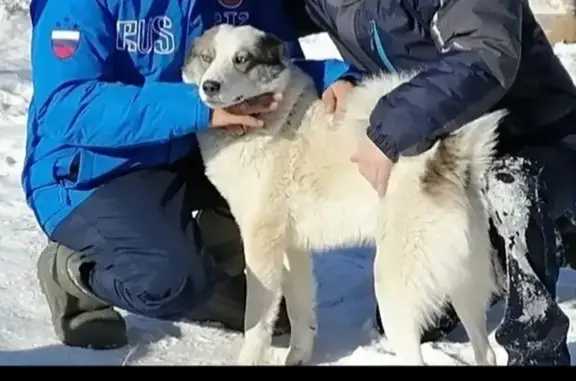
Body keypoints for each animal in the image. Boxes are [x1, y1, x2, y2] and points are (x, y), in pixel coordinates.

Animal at [182, 23, 502, 366]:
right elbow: (300, 309)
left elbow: (257, 321)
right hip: (465, 283)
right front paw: (298, 357)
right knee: (486, 351)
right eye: (207, 57)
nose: (210, 86)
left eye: (241, 60)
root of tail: (445, 158)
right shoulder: (293, 249)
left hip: (395, 290)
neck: (273, 123)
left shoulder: (261, 245)